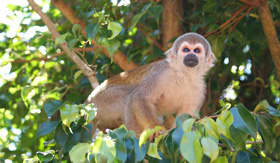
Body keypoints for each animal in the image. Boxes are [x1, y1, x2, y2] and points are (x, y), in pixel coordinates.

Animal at [86, 32, 217, 136]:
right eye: (186, 50)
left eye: (197, 50)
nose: (191, 55)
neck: (183, 75)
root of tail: (87, 101)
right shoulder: (161, 73)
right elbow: (140, 98)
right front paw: (157, 129)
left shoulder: (200, 88)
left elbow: (184, 116)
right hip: (100, 103)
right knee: (129, 95)